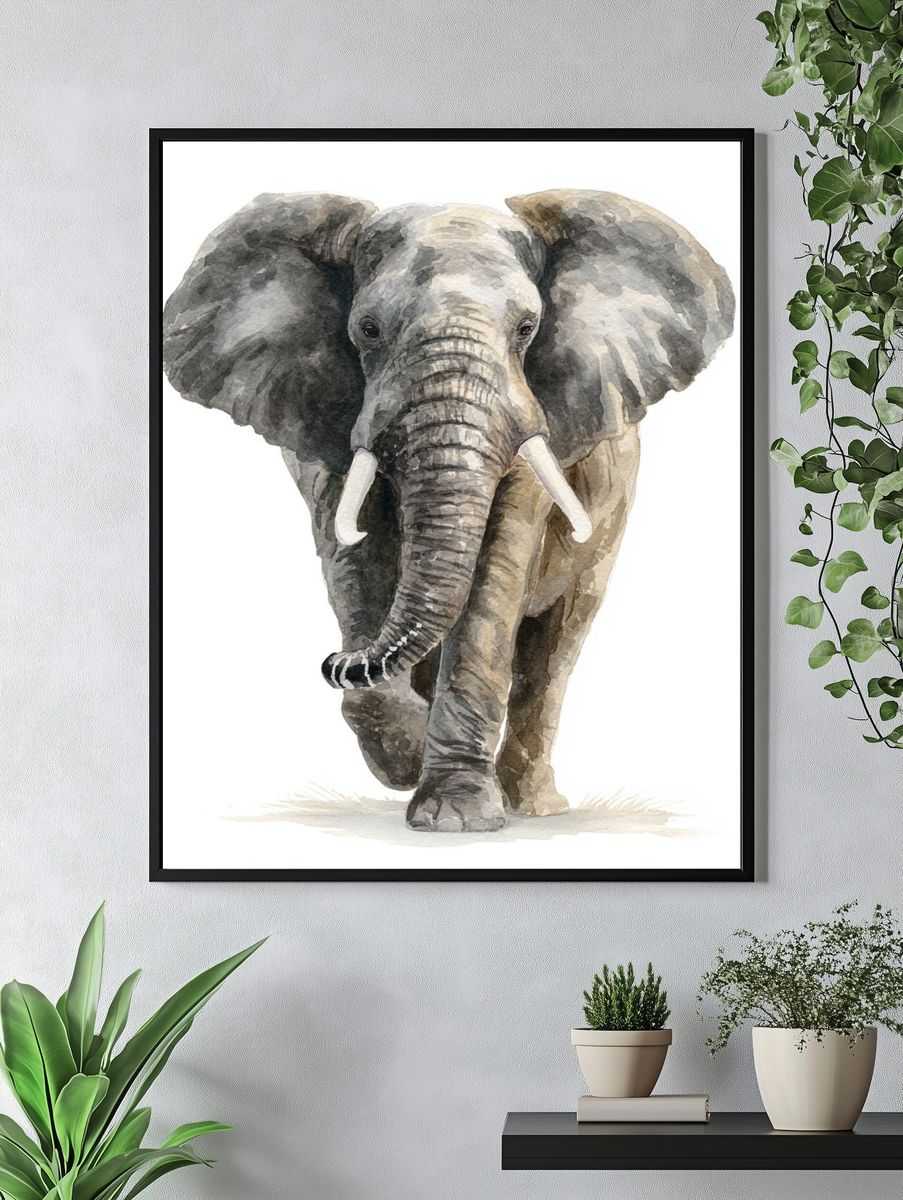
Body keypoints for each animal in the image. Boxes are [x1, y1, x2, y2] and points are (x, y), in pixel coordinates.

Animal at [162, 188, 734, 832]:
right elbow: (353, 560)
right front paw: (408, 759)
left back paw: (533, 807)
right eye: (367, 329)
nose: (334, 661)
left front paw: (455, 819)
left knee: (556, 645)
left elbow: (492, 580)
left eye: (528, 329)